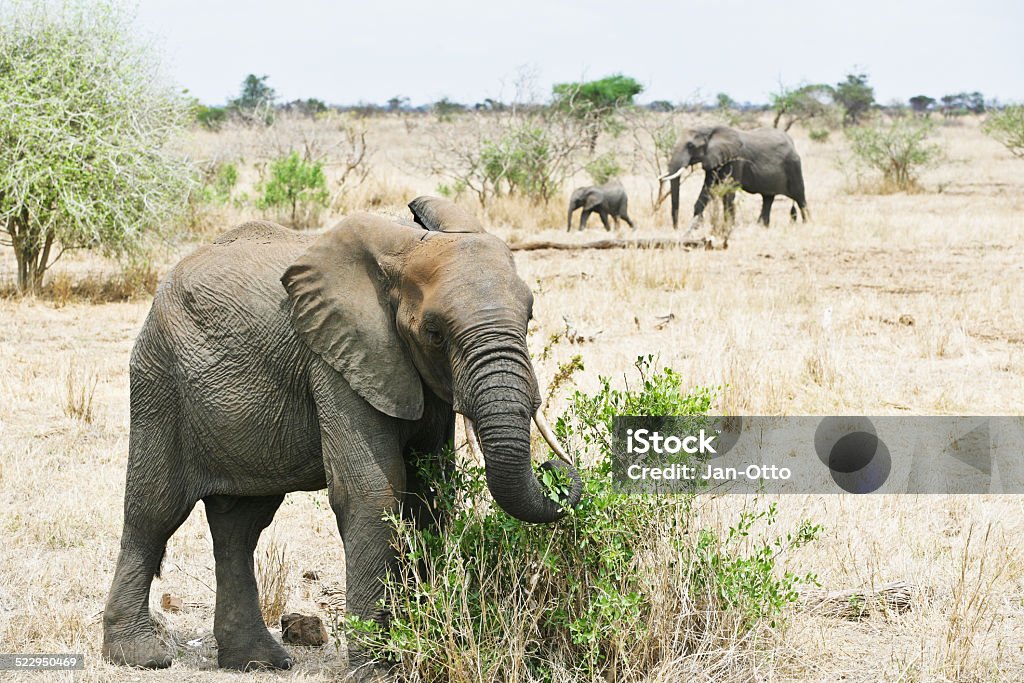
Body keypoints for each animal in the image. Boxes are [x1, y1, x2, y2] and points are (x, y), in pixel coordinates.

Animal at [105, 196, 585, 671]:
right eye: (434, 332)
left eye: (529, 317)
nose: (555, 467)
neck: (405, 252)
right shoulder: (337, 358)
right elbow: (373, 493)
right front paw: (377, 669)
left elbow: (430, 493)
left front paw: (420, 644)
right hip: (159, 377)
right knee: (155, 511)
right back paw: (141, 656)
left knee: (241, 525)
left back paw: (257, 662)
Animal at [659, 127, 811, 232]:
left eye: (690, 146)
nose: (676, 228)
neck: (710, 129)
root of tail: (792, 142)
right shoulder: (712, 160)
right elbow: (707, 188)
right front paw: (696, 226)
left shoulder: (736, 159)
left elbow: (729, 190)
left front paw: (728, 227)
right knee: (768, 198)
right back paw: (762, 227)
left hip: (794, 166)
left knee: (800, 197)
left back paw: (807, 224)